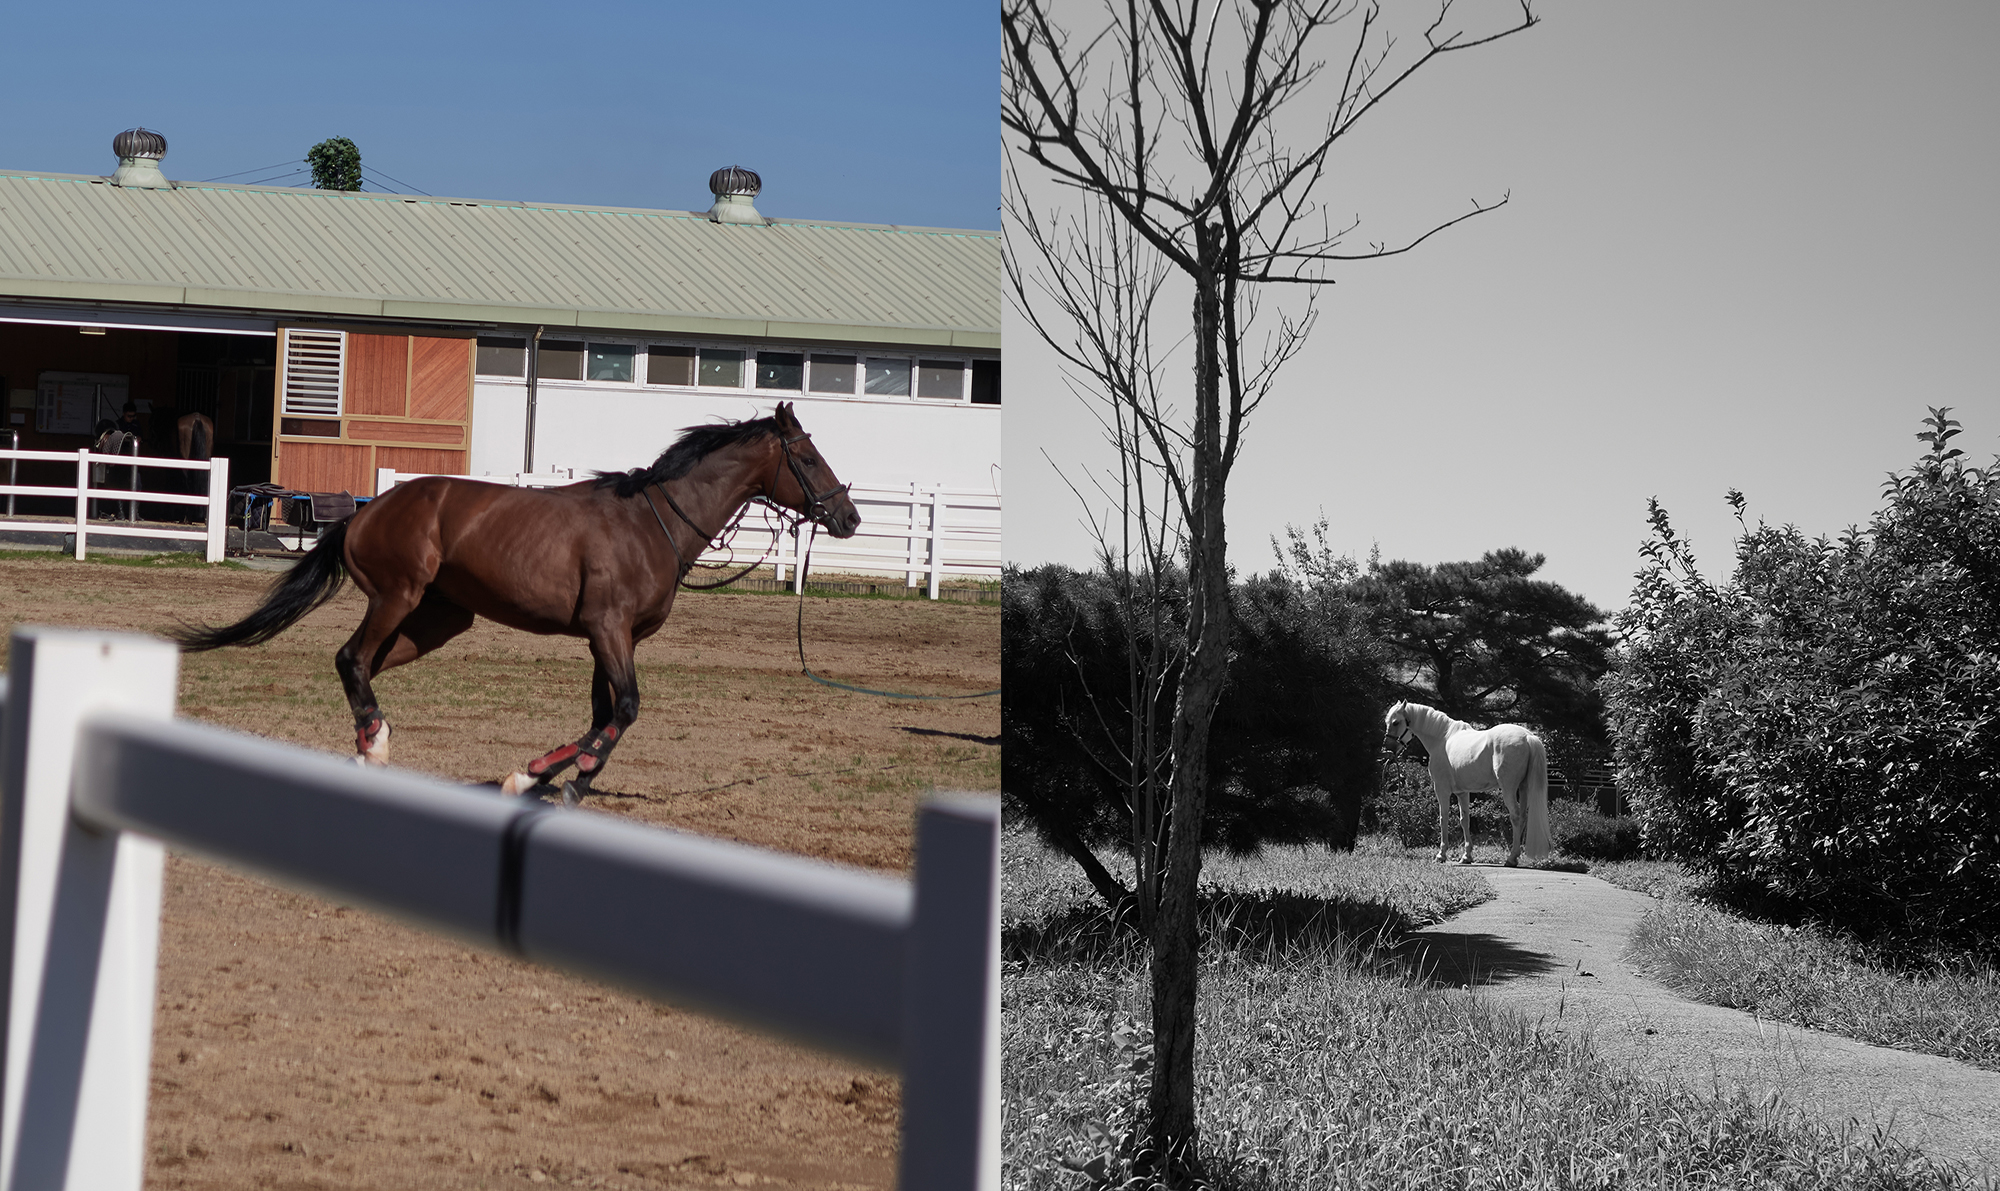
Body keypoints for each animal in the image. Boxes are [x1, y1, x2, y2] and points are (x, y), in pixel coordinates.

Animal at [173, 402, 860, 805]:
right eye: (806, 457)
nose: (849, 517)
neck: (651, 524)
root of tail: (365, 512)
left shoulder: (612, 639)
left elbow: (601, 715)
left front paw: (547, 776)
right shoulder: (608, 631)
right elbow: (625, 710)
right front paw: (552, 777)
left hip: (440, 620)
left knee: (362, 665)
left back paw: (372, 745)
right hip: (399, 596)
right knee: (351, 658)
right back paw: (374, 744)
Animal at [1383, 700, 1550, 866]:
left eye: (1396, 722)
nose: (1387, 749)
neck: (1442, 738)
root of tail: (1528, 737)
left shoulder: (1442, 789)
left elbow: (1443, 818)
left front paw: (1441, 855)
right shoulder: (1462, 792)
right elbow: (1465, 820)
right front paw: (1466, 856)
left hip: (1509, 788)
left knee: (1515, 816)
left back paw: (1511, 858)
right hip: (1523, 787)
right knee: (1522, 816)